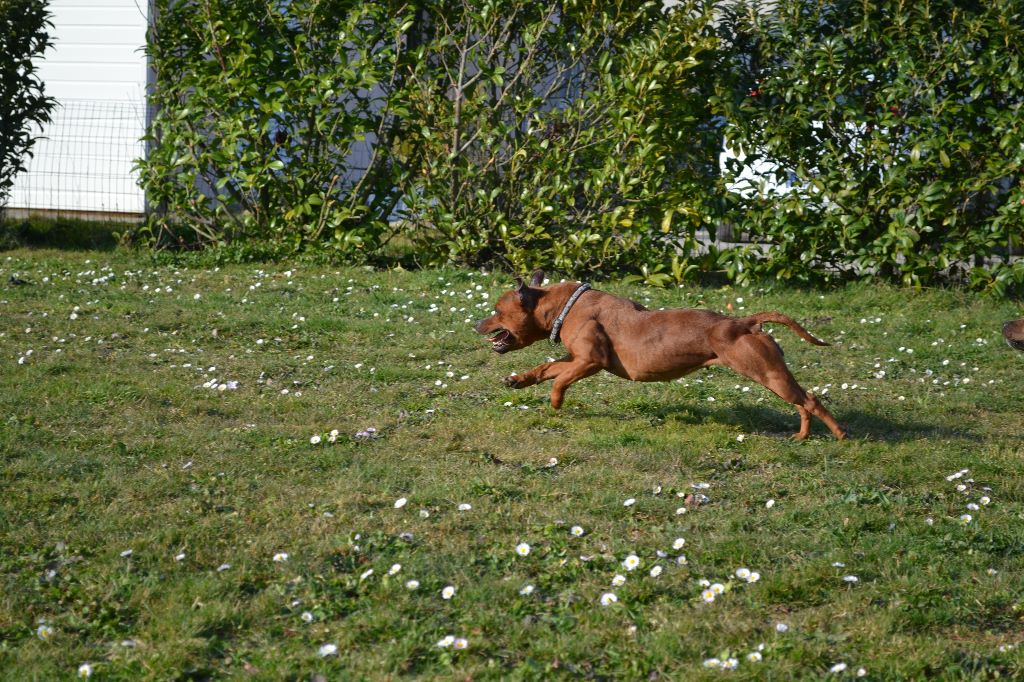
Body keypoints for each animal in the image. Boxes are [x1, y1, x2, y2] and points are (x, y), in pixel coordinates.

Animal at [475, 270, 843, 440]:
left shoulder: (590, 362)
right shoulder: (575, 358)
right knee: (805, 401)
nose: (478, 323)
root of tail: (744, 322)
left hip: (766, 373)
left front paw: (555, 401)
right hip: (772, 373)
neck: (562, 306)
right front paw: (519, 380)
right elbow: (547, 367)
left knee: (810, 400)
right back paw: (802, 435)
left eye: (497, 311)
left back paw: (838, 434)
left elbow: (559, 380)